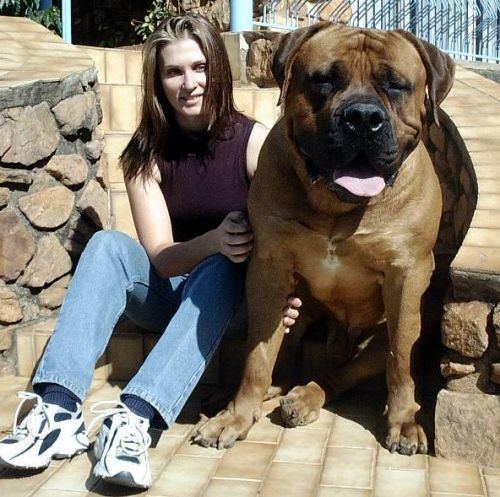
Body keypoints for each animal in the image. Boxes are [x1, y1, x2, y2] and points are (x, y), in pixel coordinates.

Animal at [192, 25, 454, 456]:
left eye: (396, 85)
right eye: (324, 80)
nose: (363, 117)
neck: (338, 207)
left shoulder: (408, 275)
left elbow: (400, 361)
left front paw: (403, 421)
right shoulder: (269, 270)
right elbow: (257, 357)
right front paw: (237, 416)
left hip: (403, 322)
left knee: (344, 374)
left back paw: (304, 399)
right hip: (296, 307)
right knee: (285, 364)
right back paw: (250, 397)